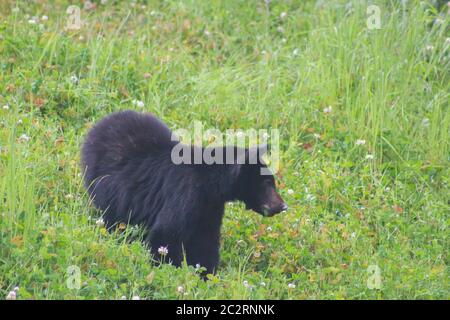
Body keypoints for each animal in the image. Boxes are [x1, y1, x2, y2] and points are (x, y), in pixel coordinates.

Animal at [82, 110, 286, 276]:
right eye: (267, 183)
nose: (282, 206)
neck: (211, 183)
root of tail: (98, 125)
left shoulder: (210, 205)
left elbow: (205, 240)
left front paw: (206, 275)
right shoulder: (187, 194)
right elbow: (167, 233)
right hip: (103, 184)